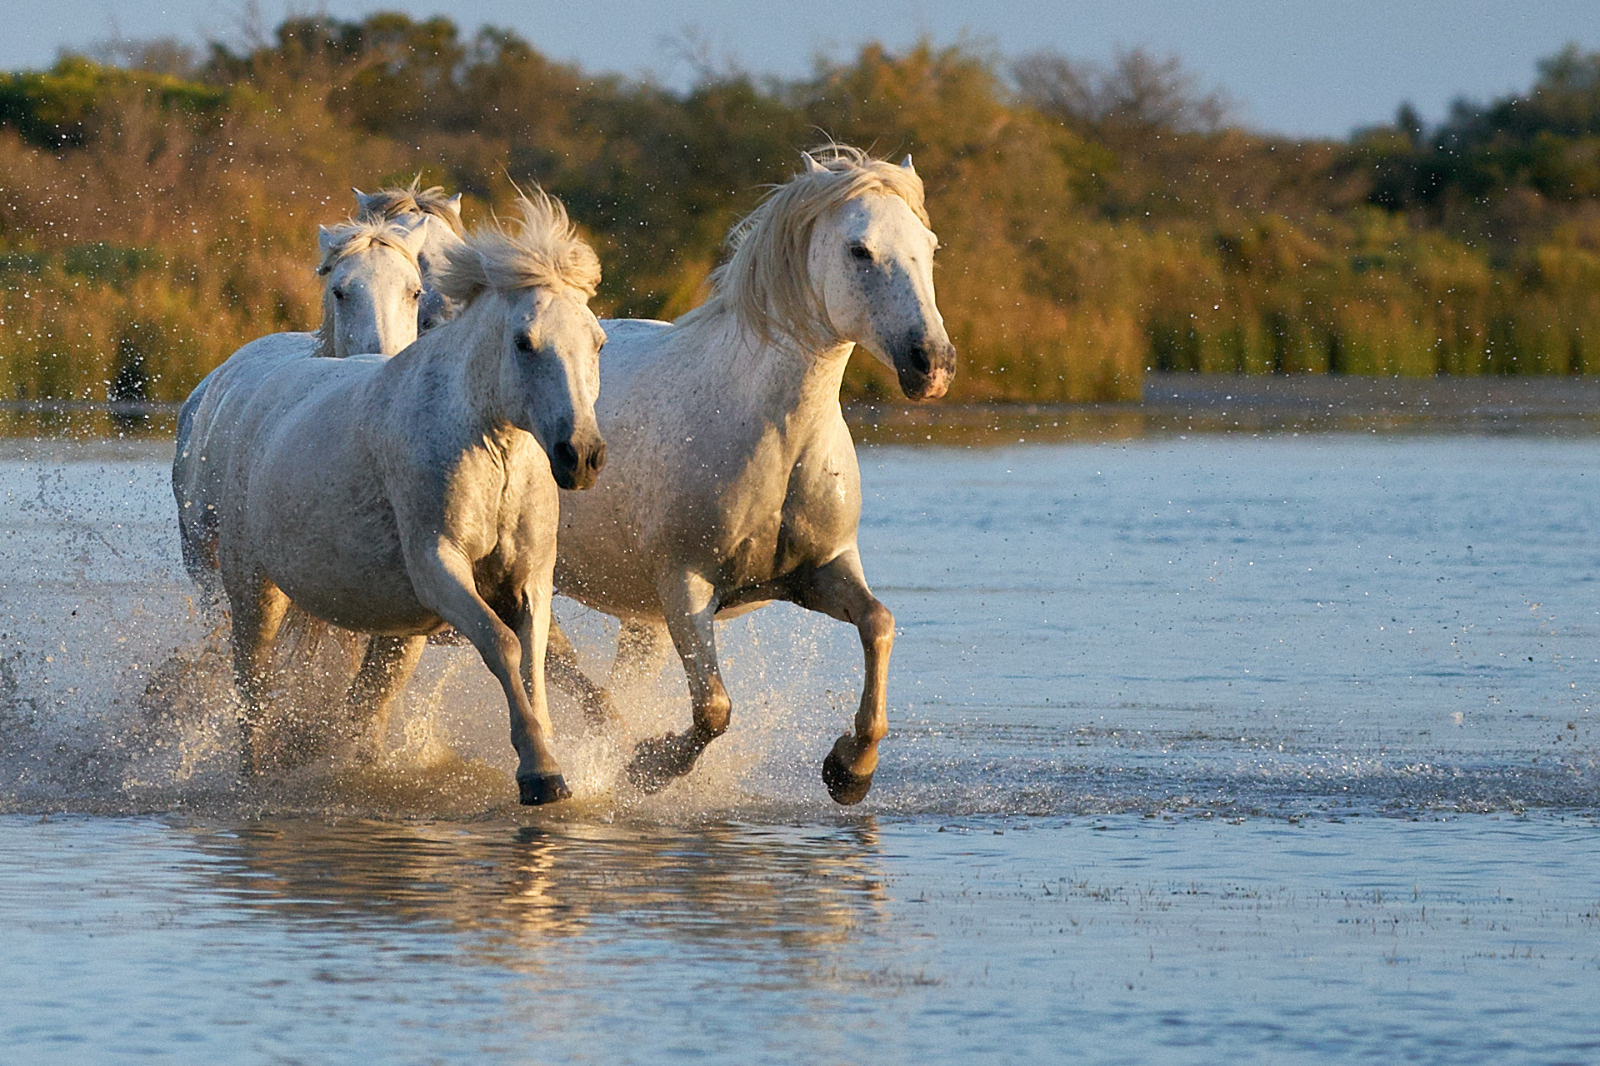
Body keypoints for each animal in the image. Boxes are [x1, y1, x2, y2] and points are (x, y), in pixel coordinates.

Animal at [203, 192, 608, 804]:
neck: (491, 448)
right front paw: (539, 773)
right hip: (255, 592)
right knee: (252, 683)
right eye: (524, 342)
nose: (580, 455)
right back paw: (255, 774)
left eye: (598, 342)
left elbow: (537, 663)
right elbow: (504, 647)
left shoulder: (530, 579)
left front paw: (550, 763)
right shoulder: (437, 565)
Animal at [547, 145, 956, 805]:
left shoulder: (819, 572)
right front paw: (647, 765)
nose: (933, 366)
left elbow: (880, 624)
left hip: (637, 617)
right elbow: (713, 709)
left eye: (931, 245)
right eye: (859, 250)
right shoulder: (686, 586)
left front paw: (850, 769)